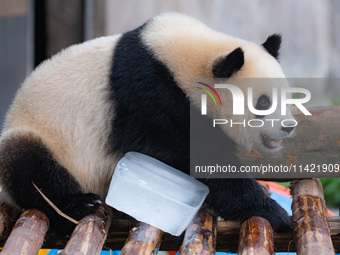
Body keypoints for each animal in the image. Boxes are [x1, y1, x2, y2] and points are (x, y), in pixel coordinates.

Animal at [0, 12, 292, 235]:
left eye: (285, 95)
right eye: (263, 102)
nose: (288, 126)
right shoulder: (154, 98)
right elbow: (199, 159)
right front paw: (276, 213)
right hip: (42, 135)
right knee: (28, 164)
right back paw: (77, 206)